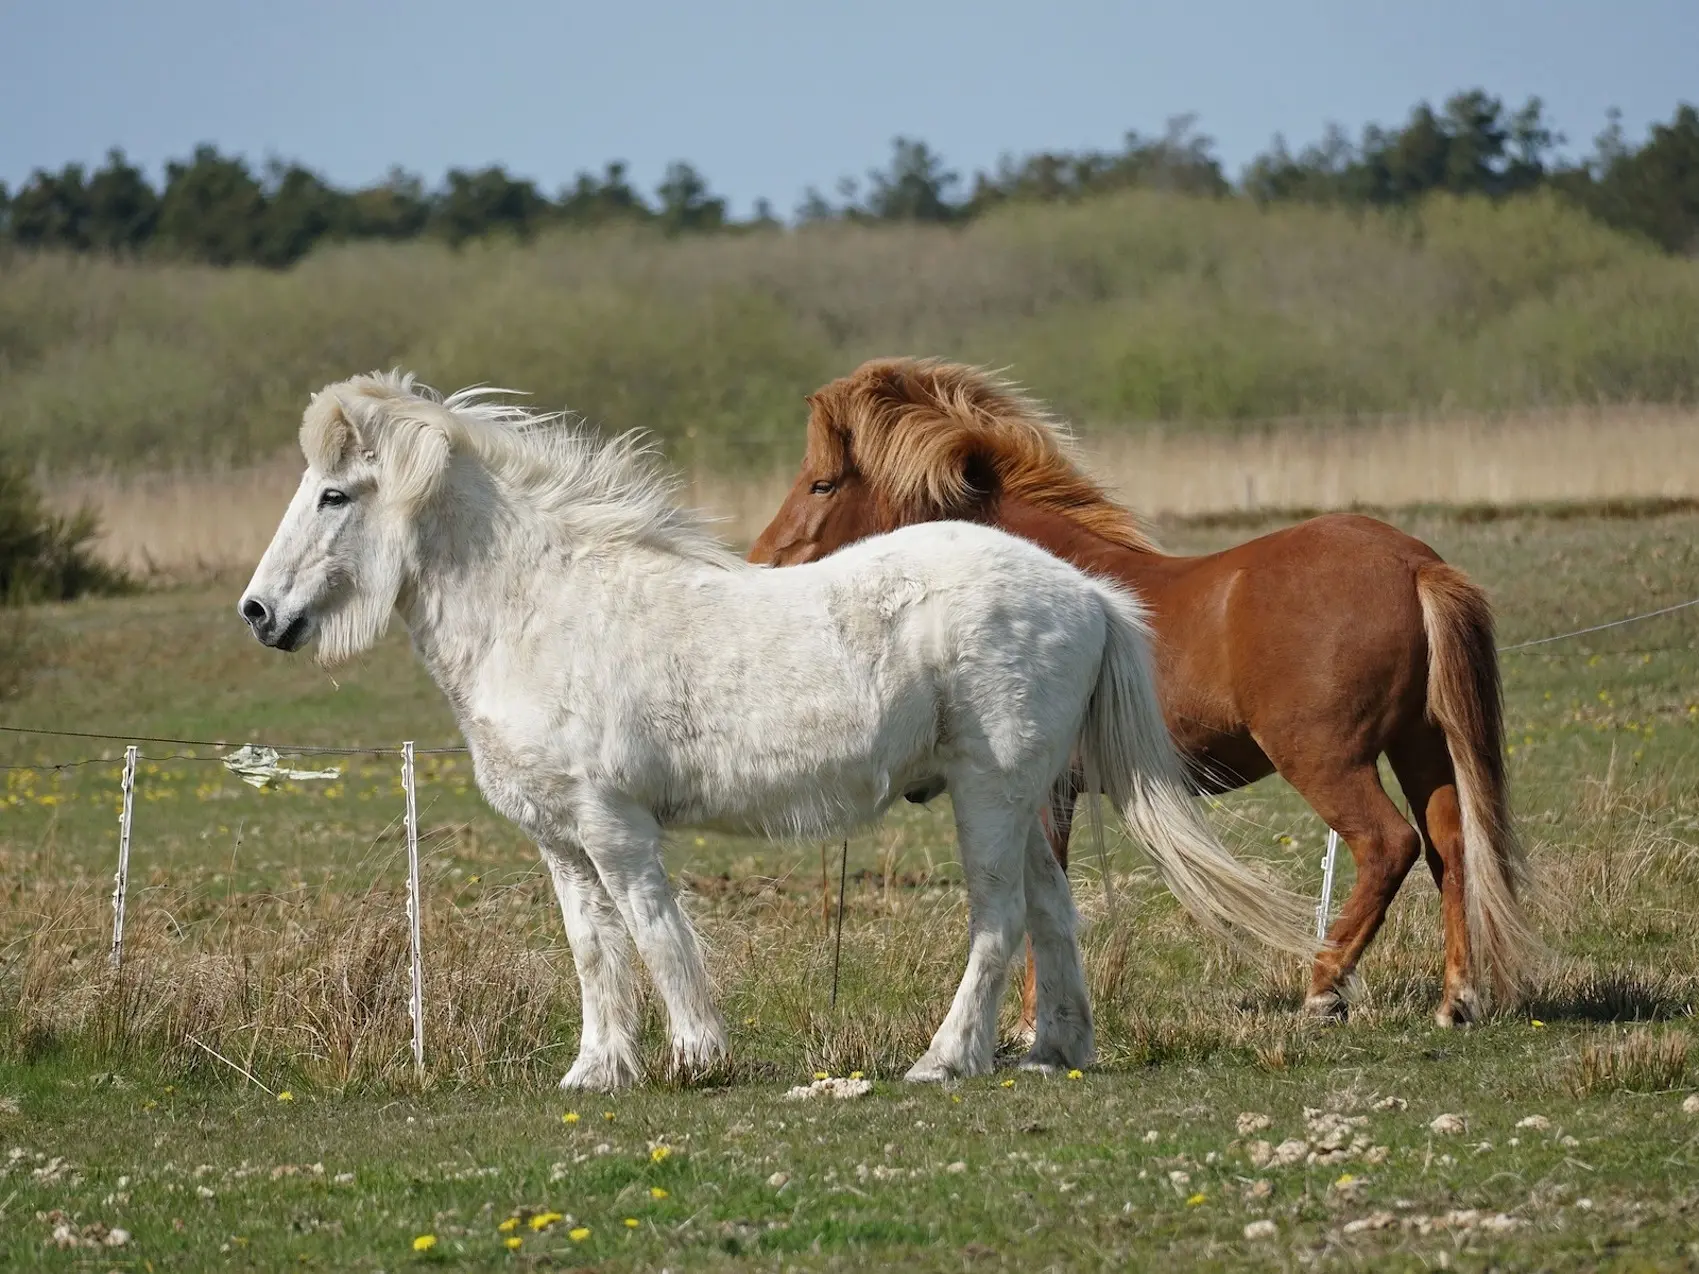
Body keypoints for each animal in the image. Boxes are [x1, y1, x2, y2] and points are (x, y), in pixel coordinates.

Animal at [239, 373, 1311, 1093]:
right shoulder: (561, 842)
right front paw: (598, 1071)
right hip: (1027, 798)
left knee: (999, 920)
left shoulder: (615, 829)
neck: (541, 608)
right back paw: (1052, 1052)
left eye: (335, 493)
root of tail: (1087, 592)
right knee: (1051, 915)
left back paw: (944, 1059)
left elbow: (654, 932)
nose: (258, 613)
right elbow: (593, 951)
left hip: (990, 794)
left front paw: (696, 1056)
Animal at [754, 355, 1542, 1032]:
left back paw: (1323, 989)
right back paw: (1456, 999)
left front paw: (1031, 1022)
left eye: (822, 484)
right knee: (1449, 849)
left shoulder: (1041, 789)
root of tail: (1413, 564)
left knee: (1387, 845)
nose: (764, 563)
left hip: (1326, 760)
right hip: (1421, 747)